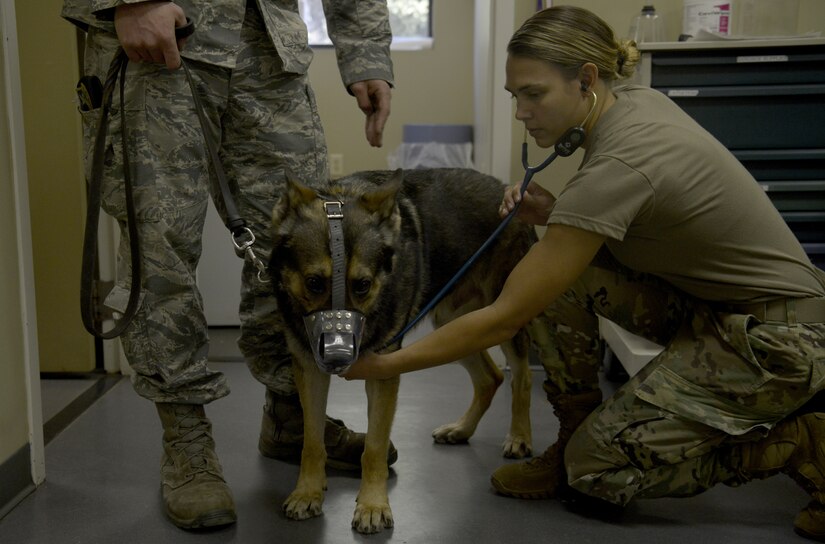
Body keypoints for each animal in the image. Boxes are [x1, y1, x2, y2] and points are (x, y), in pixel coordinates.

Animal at [268, 168, 536, 532]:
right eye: (313, 283)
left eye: (362, 285)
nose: (337, 360)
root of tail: (510, 191)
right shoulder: (309, 370)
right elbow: (312, 441)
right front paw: (307, 492)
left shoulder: (384, 373)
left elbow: (374, 448)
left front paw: (372, 505)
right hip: (457, 326)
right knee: (490, 377)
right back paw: (461, 429)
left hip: (505, 313)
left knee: (520, 376)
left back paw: (520, 436)